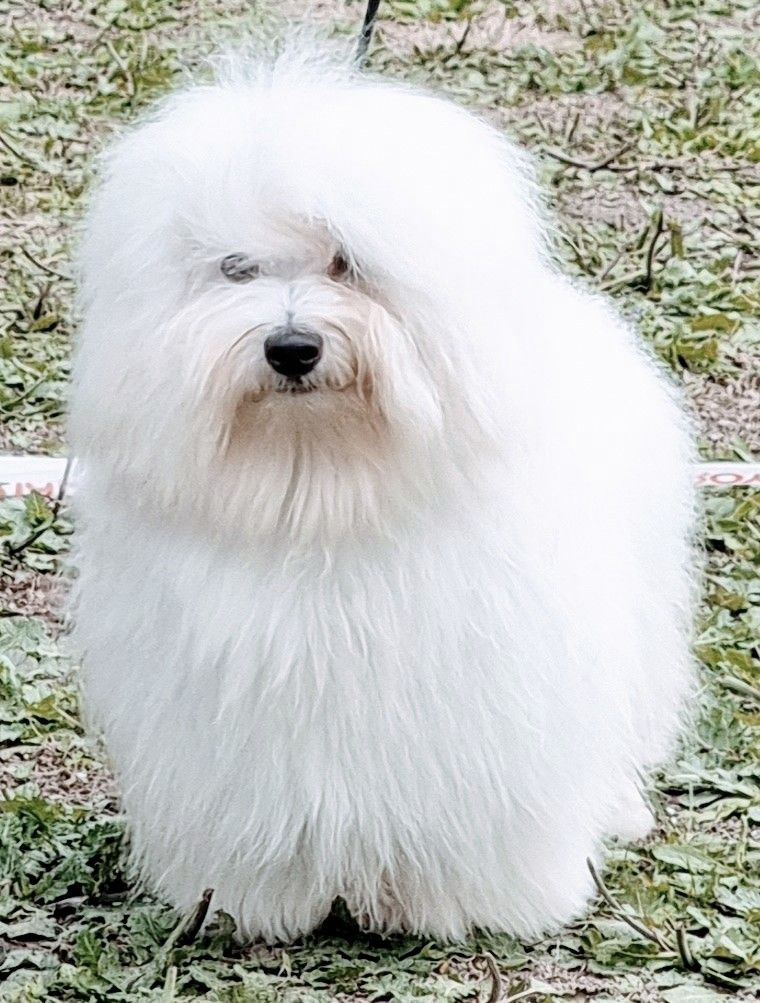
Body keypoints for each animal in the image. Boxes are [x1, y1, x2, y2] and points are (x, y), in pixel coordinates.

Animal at [70, 39, 697, 943]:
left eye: (347, 262)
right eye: (235, 269)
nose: (291, 346)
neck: (322, 488)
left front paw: (467, 902)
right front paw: (257, 902)